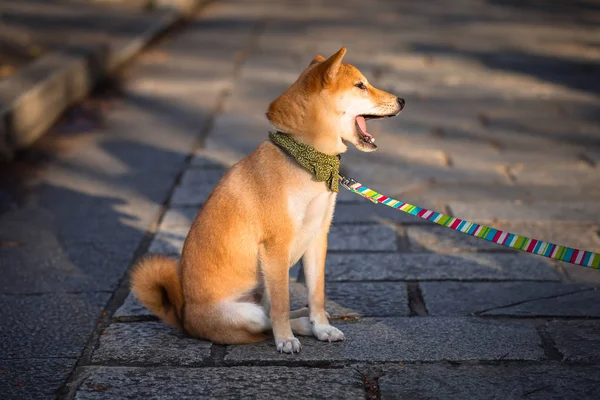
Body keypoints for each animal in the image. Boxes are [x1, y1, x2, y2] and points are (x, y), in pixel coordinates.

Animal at [131, 47, 404, 354]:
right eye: (361, 86)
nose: (402, 100)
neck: (306, 161)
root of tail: (184, 319)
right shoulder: (277, 246)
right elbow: (282, 304)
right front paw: (285, 339)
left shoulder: (318, 237)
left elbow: (317, 294)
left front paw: (322, 327)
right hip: (245, 312)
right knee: (268, 318)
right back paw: (295, 328)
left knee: (277, 311)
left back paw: (307, 318)